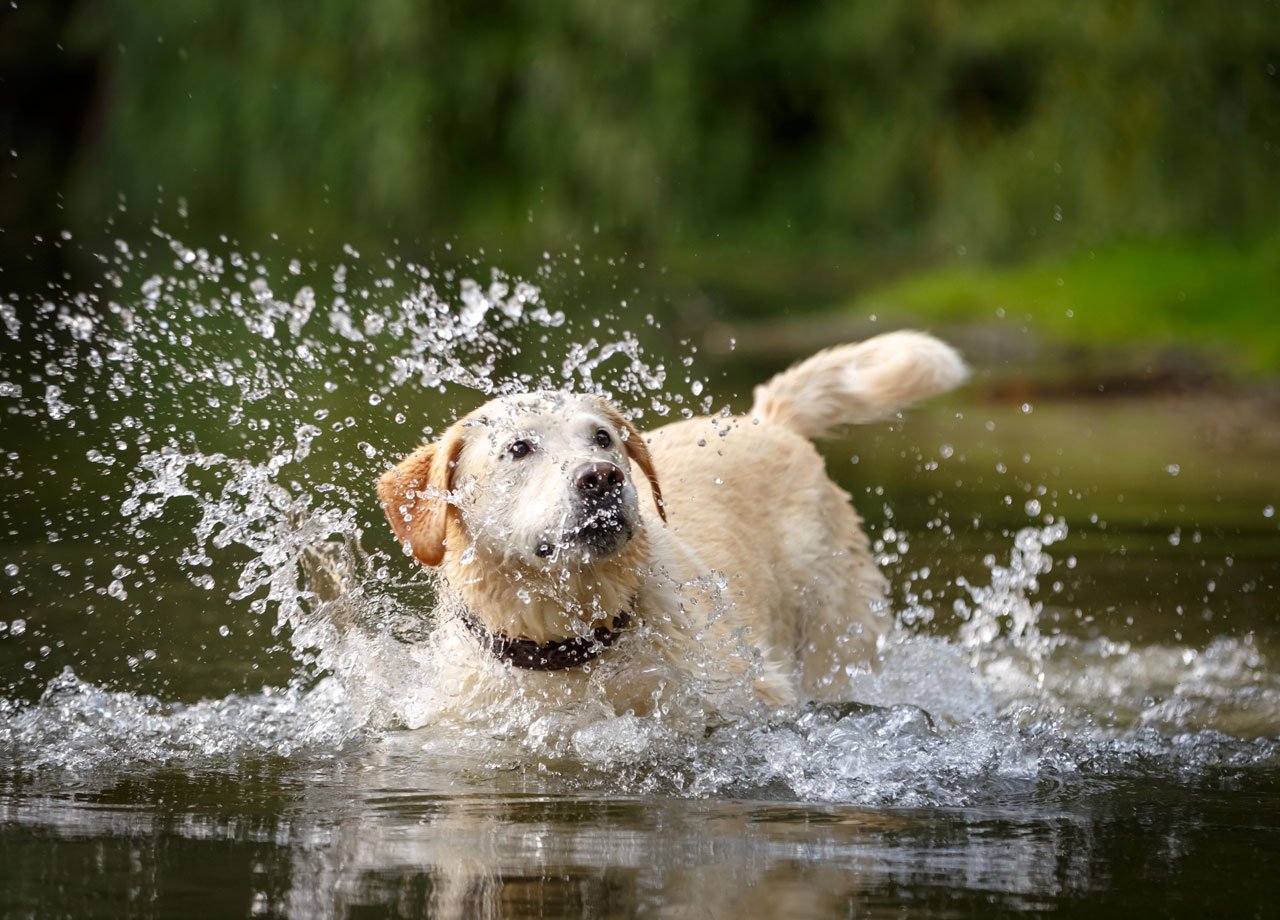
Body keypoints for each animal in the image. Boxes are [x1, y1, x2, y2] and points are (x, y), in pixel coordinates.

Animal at [373, 332, 962, 721]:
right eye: (519, 448)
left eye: (603, 438)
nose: (602, 477)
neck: (570, 642)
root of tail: (768, 419)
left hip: (836, 639)